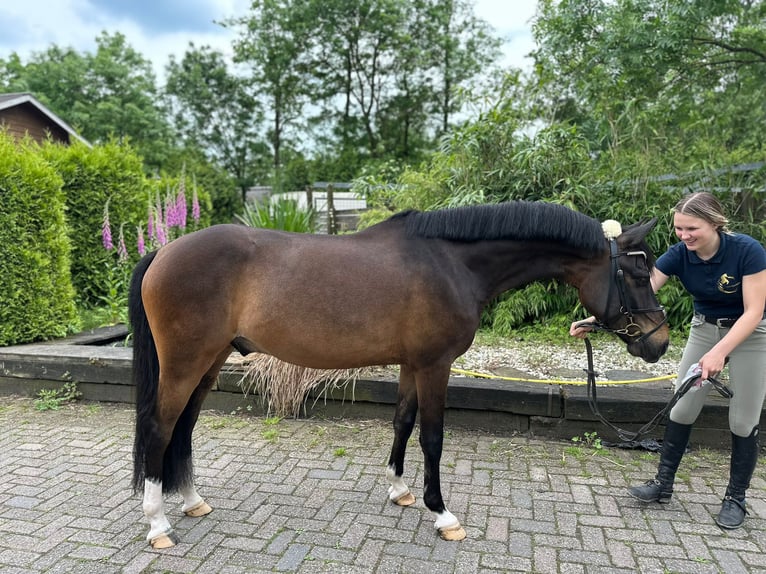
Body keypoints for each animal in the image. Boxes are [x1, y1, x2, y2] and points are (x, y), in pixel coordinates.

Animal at [129, 201, 668, 548]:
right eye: (638, 275)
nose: (659, 342)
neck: (451, 262)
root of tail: (163, 252)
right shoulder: (435, 366)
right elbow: (432, 437)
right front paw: (442, 512)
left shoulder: (413, 364)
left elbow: (403, 424)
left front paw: (399, 490)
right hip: (186, 363)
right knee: (160, 426)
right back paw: (157, 525)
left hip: (210, 361)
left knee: (184, 427)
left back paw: (192, 501)